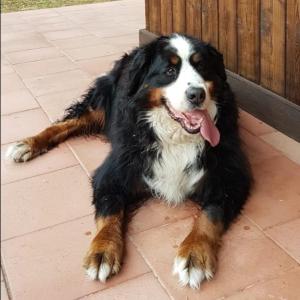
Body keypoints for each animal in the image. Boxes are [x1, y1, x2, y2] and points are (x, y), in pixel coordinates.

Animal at [6, 34, 251, 290]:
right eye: (170, 70)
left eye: (201, 66)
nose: (197, 94)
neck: (176, 137)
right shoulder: (112, 174)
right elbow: (109, 211)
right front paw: (102, 250)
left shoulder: (230, 177)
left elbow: (209, 216)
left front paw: (195, 254)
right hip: (101, 101)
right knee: (67, 123)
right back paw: (27, 145)